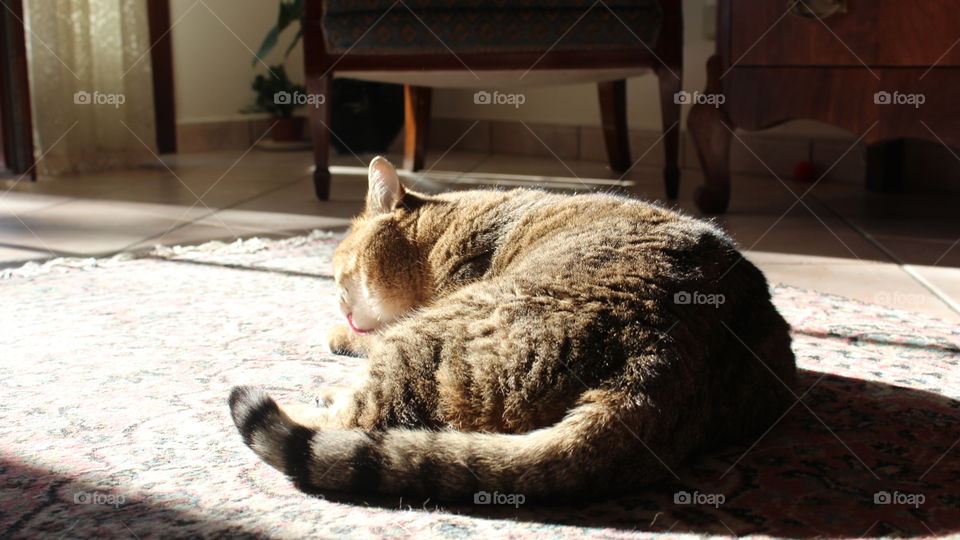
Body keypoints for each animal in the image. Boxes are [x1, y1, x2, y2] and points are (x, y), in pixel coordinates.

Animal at [227, 156, 796, 502]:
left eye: (338, 274)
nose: (339, 302)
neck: (445, 232)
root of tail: (662, 361)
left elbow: (366, 339)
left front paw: (338, 335)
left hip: (434, 335)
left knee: (362, 418)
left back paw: (309, 400)